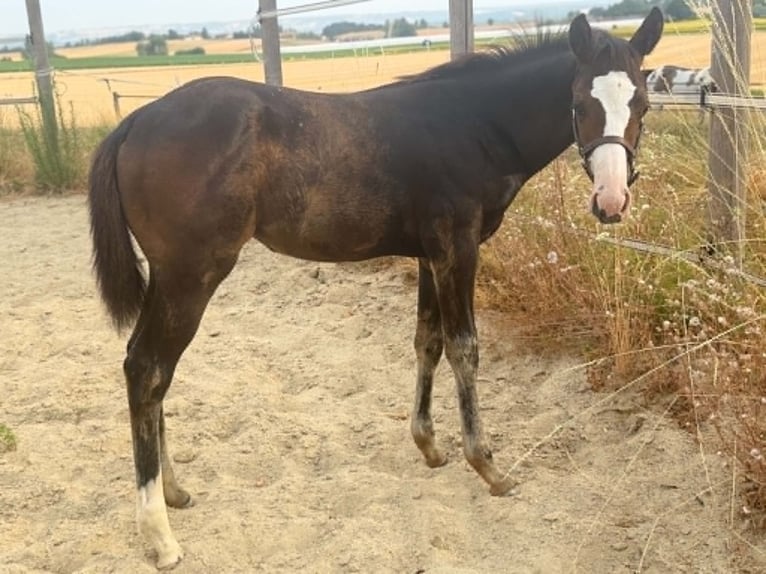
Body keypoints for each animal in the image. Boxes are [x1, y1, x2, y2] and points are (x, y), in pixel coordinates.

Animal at [88, 9, 663, 569]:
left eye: (643, 102)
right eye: (580, 102)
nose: (612, 200)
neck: (474, 124)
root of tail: (137, 121)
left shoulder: (430, 255)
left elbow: (428, 341)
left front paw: (429, 446)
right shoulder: (458, 248)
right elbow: (465, 348)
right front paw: (488, 466)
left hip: (167, 277)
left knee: (148, 369)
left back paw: (174, 492)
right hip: (191, 275)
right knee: (148, 369)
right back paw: (160, 535)